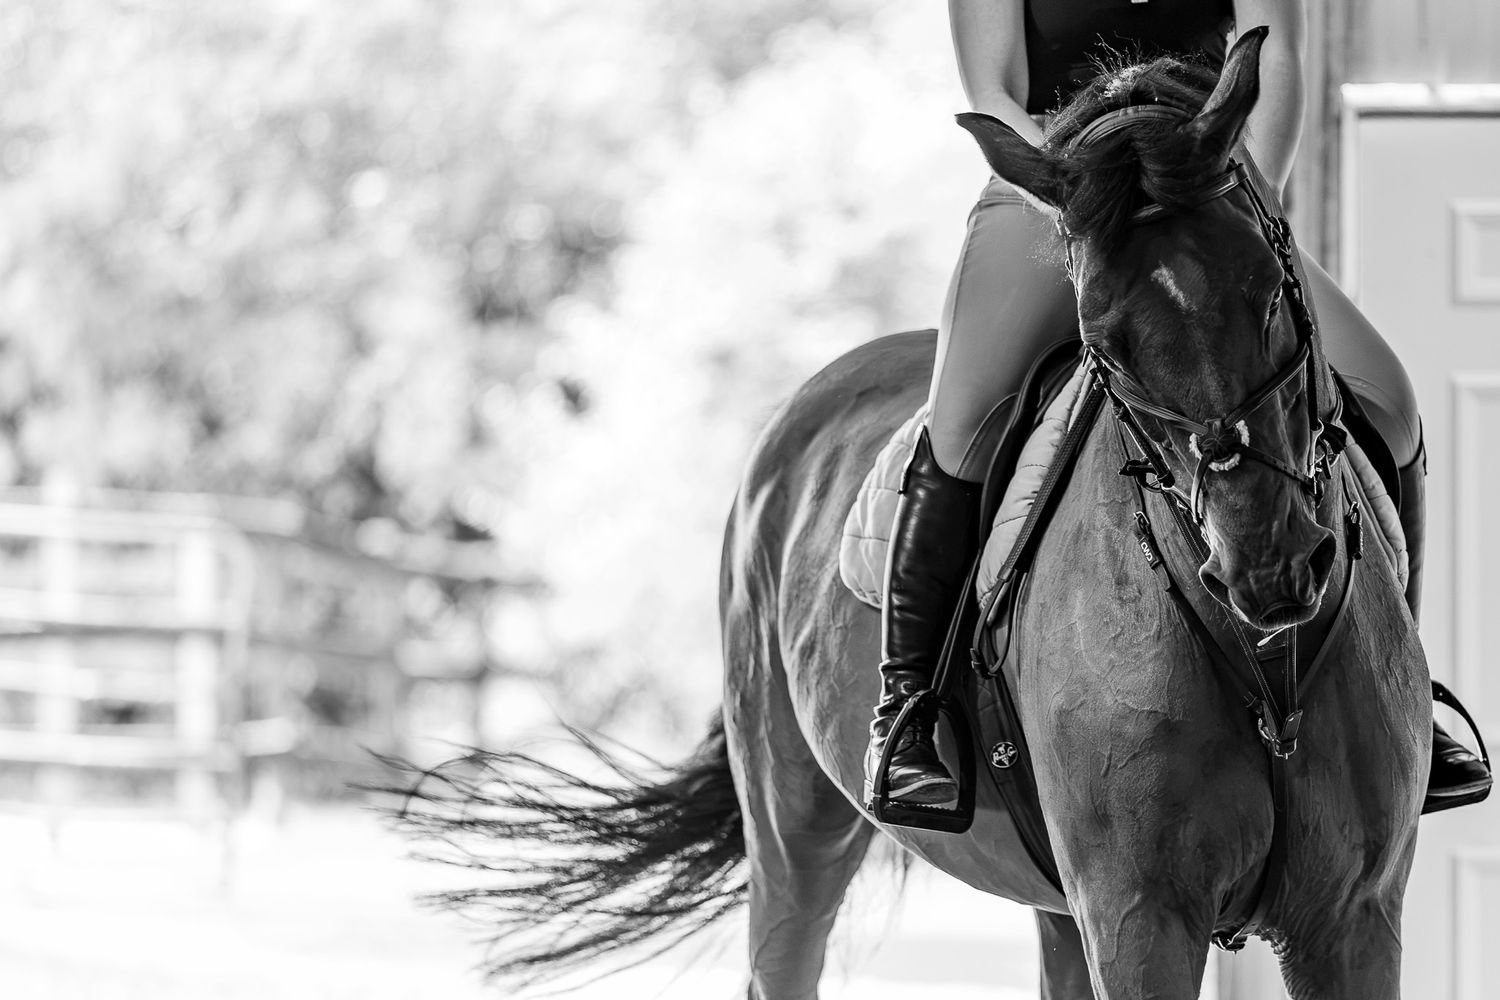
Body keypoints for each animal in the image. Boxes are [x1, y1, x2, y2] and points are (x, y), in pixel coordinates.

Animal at [392, 30, 1428, 1000]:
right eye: (1105, 343)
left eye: (1271, 290)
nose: (1271, 565)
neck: (1263, 664)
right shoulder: (1141, 920)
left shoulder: (1353, 919)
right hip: (795, 823)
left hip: (1055, 902)